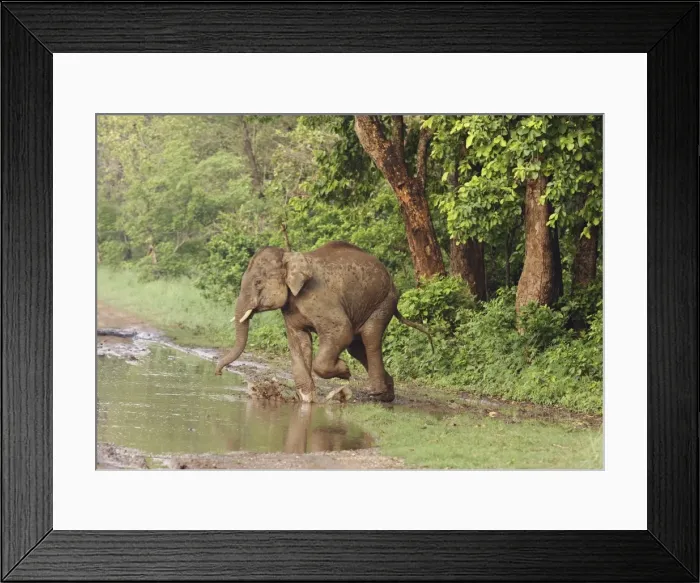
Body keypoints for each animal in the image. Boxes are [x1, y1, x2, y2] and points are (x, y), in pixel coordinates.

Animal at [214, 241, 433, 403]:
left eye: (258, 283)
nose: (218, 373)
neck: (290, 256)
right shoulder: (291, 308)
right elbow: (298, 341)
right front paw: (306, 399)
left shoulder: (320, 299)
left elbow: (341, 331)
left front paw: (345, 372)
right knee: (357, 347)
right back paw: (387, 394)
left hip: (383, 301)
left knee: (370, 339)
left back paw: (376, 393)